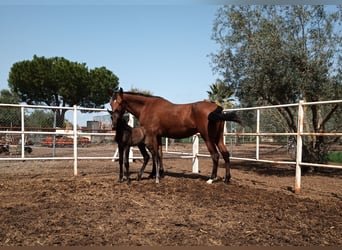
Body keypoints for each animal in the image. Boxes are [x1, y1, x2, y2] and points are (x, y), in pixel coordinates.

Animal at [109, 88, 240, 184]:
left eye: (120, 102)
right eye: (111, 103)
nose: (114, 122)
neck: (147, 106)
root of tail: (217, 107)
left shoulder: (153, 135)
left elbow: (155, 154)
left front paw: (153, 174)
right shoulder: (158, 136)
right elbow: (160, 154)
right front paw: (159, 173)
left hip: (208, 138)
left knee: (215, 155)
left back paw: (211, 179)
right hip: (218, 138)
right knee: (225, 154)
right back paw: (227, 178)